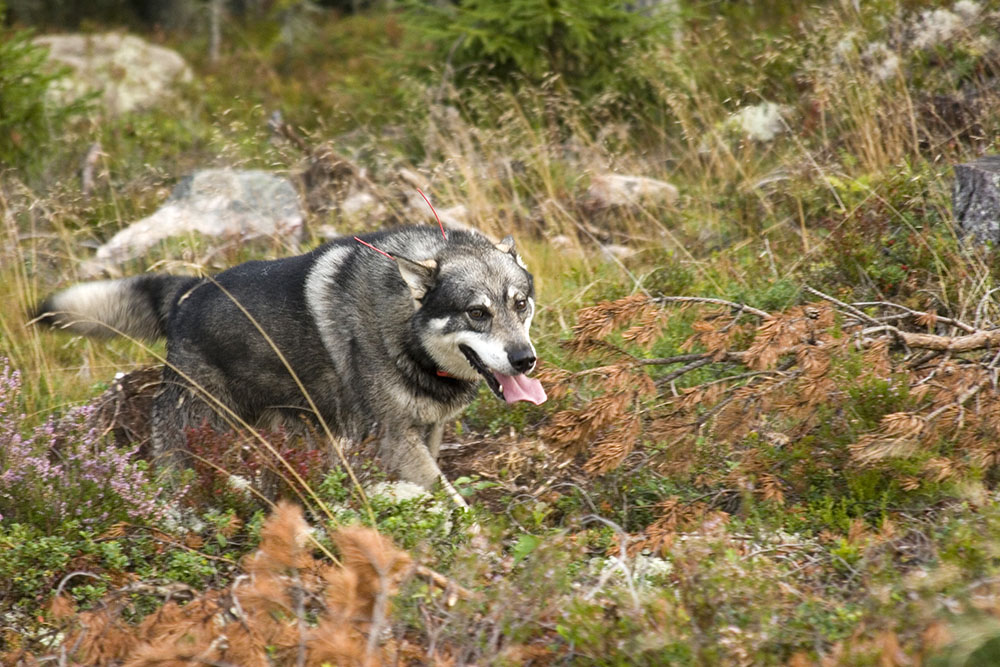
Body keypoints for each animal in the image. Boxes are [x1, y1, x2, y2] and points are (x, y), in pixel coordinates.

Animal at [35, 227, 548, 494]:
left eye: (520, 303)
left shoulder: (427, 432)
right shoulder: (396, 441)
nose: (525, 360)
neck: (405, 332)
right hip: (196, 438)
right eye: (477, 312)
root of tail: (189, 291)